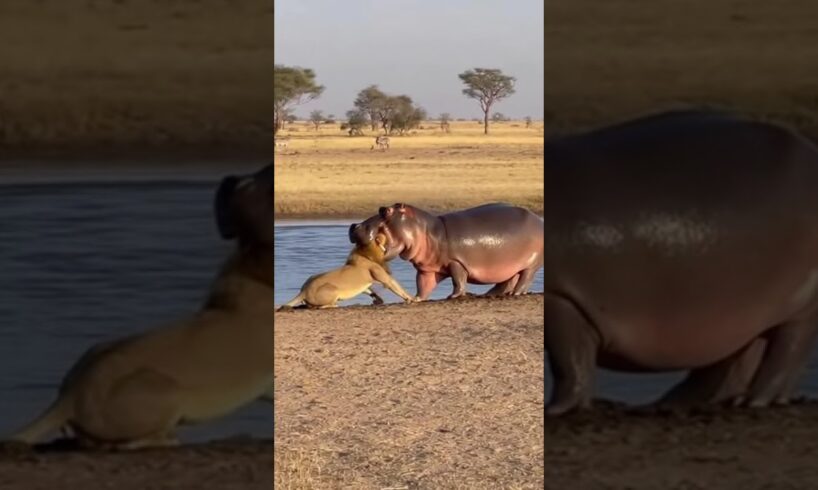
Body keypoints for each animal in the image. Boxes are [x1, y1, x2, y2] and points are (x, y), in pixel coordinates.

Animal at [349, 202, 544, 300]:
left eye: (386, 211)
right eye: (381, 208)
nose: (354, 225)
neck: (429, 231)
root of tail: (539, 220)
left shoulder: (455, 262)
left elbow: (458, 280)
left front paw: (453, 296)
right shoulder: (426, 269)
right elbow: (423, 285)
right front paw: (417, 298)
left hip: (532, 262)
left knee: (524, 278)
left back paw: (515, 293)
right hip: (511, 266)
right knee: (508, 280)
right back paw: (491, 294)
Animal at [543, 110, 818, 415]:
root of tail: (809, 149)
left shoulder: (561, 298)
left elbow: (568, 362)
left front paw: (554, 410)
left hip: (801, 304)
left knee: (787, 350)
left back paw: (753, 401)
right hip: (745, 311)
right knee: (734, 361)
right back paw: (677, 403)